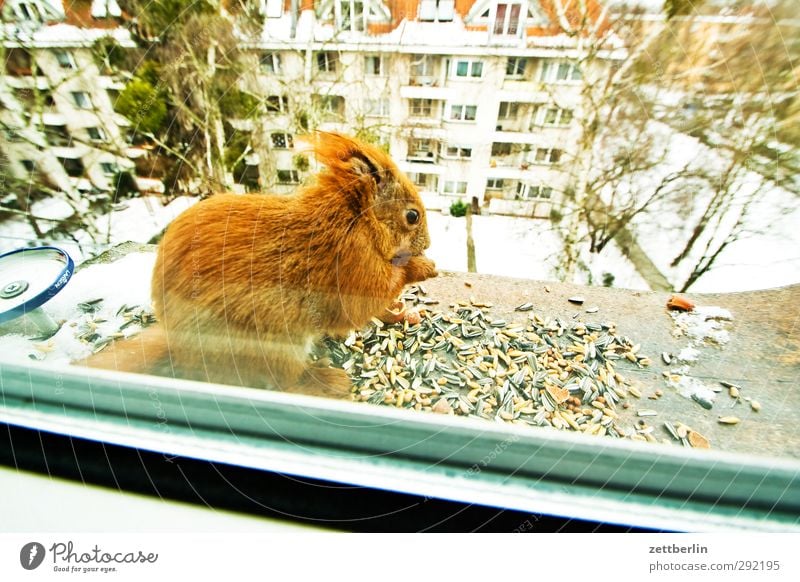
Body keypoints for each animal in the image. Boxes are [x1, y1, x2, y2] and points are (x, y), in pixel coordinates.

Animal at [81, 132, 438, 396]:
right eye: (412, 216)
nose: (428, 244)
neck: (357, 220)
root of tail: (180, 347)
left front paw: (401, 313)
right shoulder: (352, 265)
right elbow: (366, 300)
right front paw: (421, 268)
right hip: (275, 347)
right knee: (285, 385)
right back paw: (325, 382)